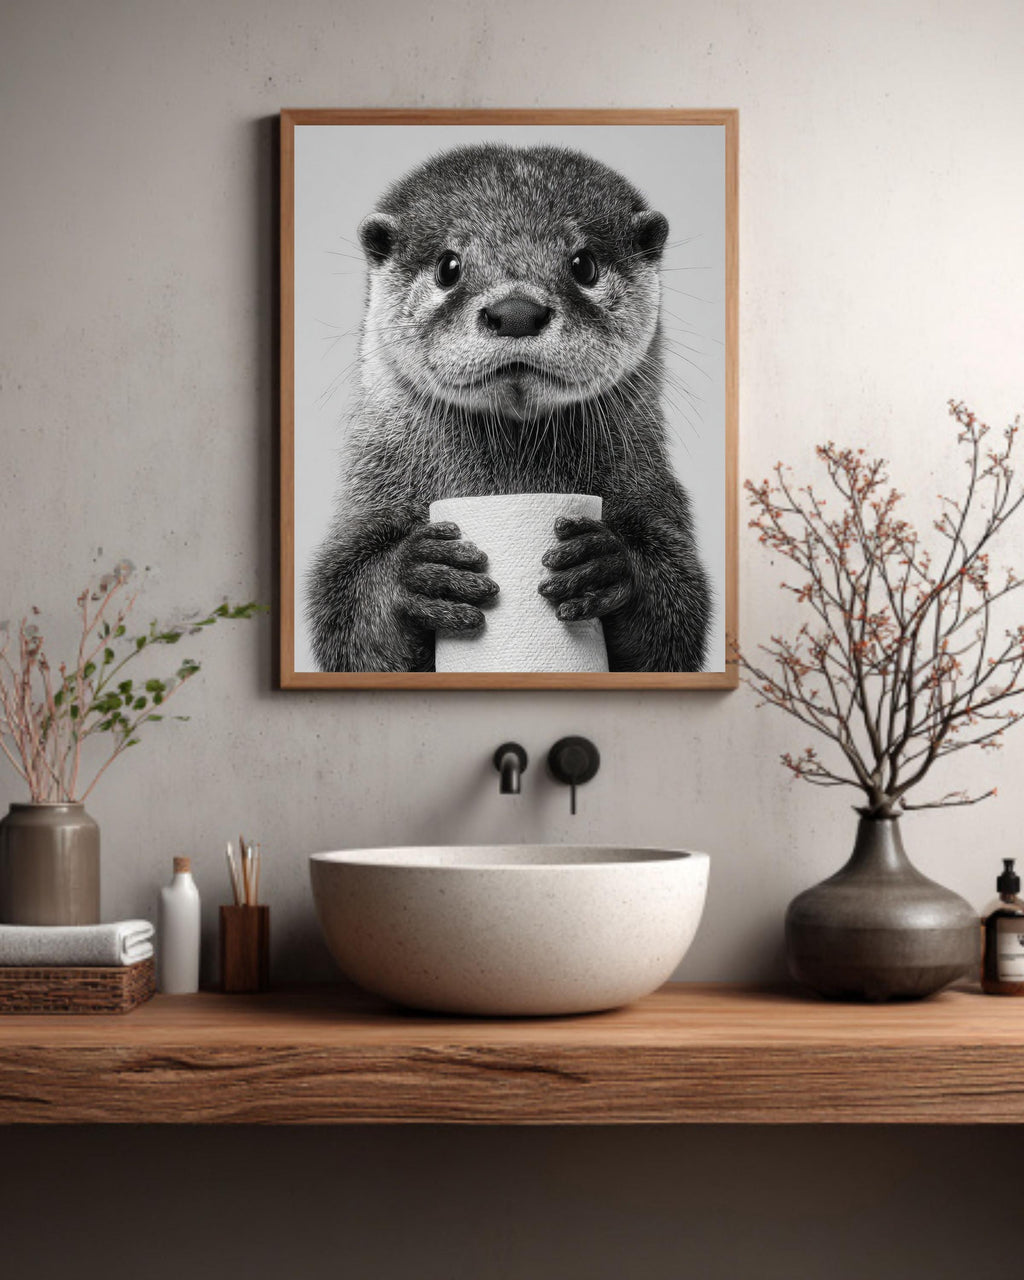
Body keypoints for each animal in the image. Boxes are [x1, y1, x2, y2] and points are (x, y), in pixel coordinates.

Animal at [307, 143, 711, 673]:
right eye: (449, 266)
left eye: (583, 264)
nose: (516, 312)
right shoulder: (367, 498)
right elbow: (347, 621)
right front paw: (414, 574)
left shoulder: (656, 496)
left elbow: (675, 626)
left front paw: (610, 563)